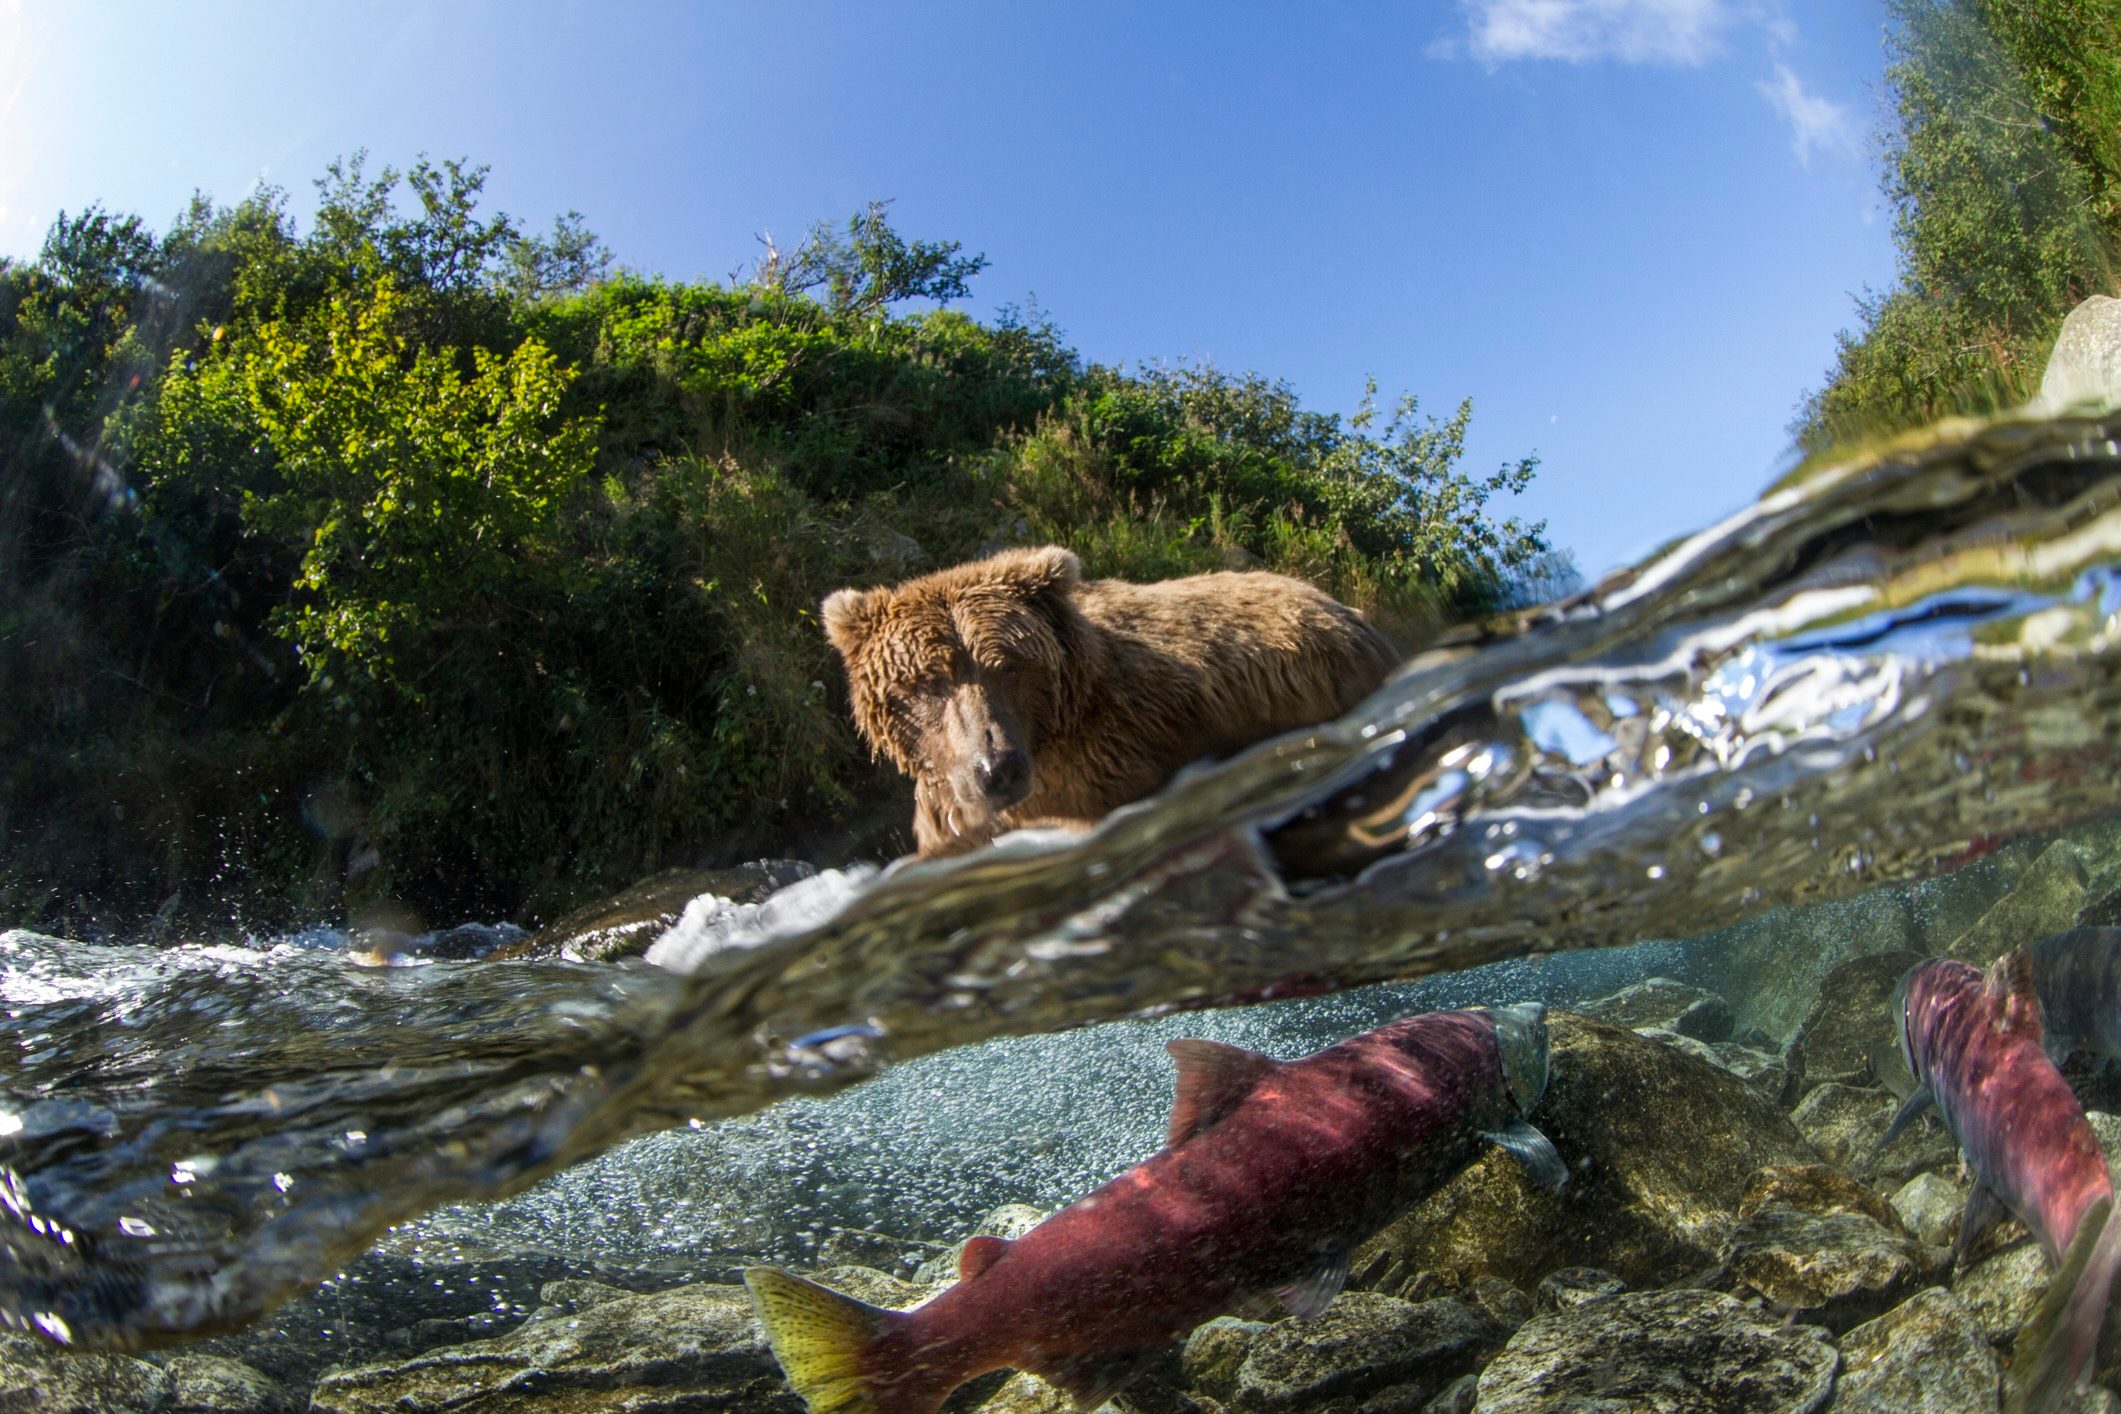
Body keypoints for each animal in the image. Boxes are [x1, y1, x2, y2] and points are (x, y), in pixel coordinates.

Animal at [821, 545, 1399, 858]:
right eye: (927, 683)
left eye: (1008, 666)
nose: (997, 768)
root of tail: (1338, 604)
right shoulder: (952, 809)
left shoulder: (1109, 761)